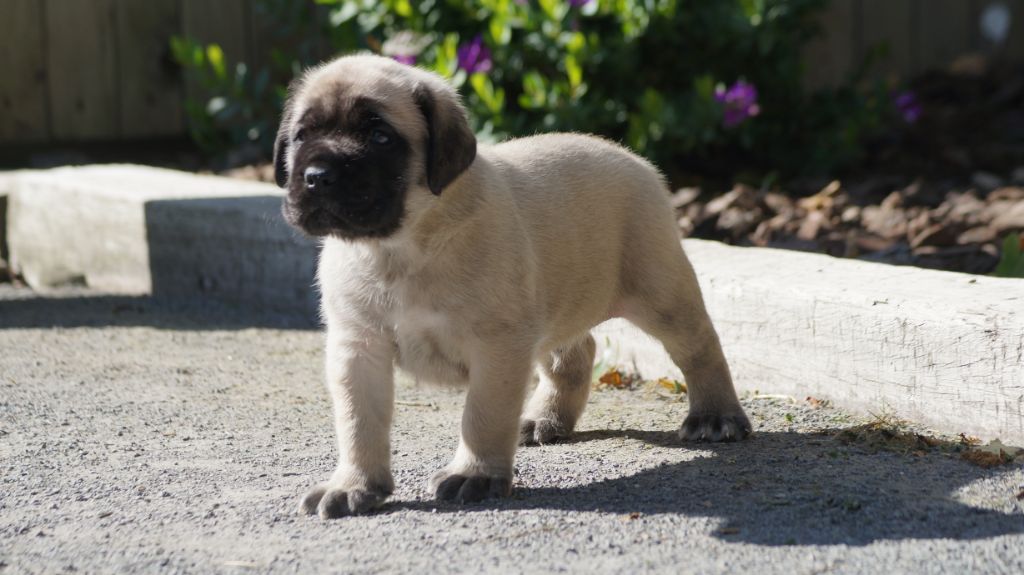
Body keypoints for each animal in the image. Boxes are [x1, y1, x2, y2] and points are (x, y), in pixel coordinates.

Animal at [274, 54, 753, 519]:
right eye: (300, 137)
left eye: (379, 136)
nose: (316, 175)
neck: (398, 247)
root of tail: (628, 156)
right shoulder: (359, 348)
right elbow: (359, 424)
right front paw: (354, 486)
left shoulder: (497, 345)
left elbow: (482, 416)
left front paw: (474, 474)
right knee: (574, 356)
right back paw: (545, 419)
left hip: (660, 293)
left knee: (699, 347)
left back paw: (715, 416)